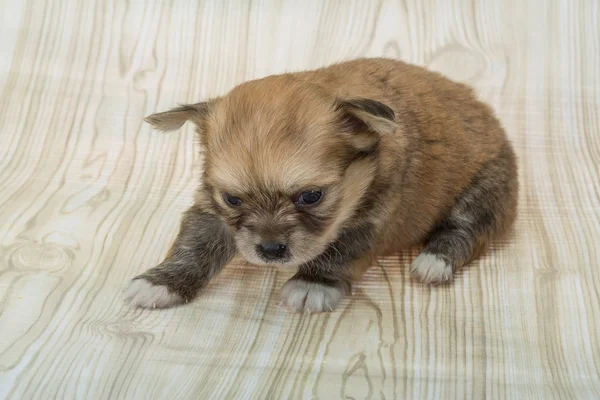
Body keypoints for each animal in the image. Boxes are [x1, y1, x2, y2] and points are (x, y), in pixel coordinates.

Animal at [123, 57, 516, 312]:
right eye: (233, 199)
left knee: (467, 227)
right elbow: (195, 244)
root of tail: (479, 105)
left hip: (489, 183)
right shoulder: (211, 210)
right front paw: (163, 281)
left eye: (311, 196)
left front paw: (314, 282)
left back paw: (435, 260)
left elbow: (340, 249)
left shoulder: (370, 219)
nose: (270, 250)